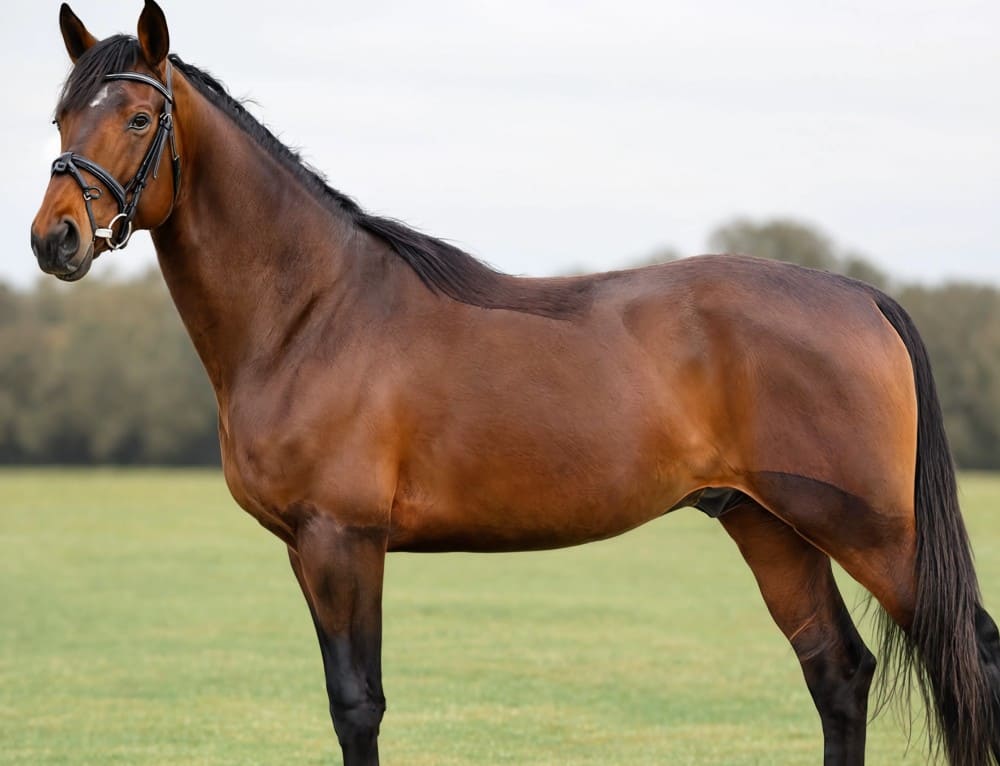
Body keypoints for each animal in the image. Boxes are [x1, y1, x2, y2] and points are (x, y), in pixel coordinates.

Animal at [30, 3, 1000, 764]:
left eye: (139, 119)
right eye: (60, 118)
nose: (55, 239)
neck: (311, 310)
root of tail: (861, 295)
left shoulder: (343, 539)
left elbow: (358, 707)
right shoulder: (310, 550)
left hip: (877, 535)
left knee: (972, 661)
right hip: (768, 526)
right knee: (838, 672)